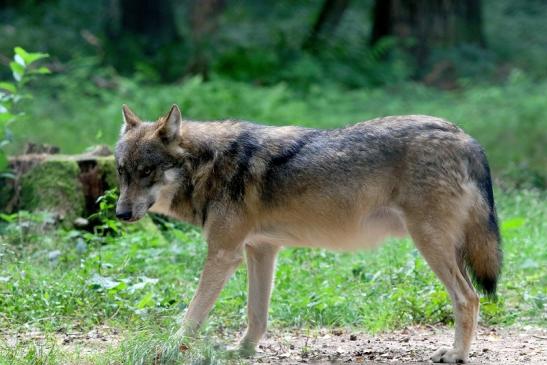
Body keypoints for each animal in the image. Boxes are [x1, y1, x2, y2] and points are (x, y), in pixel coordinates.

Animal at [116, 104, 506, 362]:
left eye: (147, 171)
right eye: (122, 171)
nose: (120, 213)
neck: (208, 165)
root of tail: (466, 137)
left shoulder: (224, 254)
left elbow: (192, 315)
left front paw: (168, 349)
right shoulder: (260, 250)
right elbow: (256, 314)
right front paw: (243, 351)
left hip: (430, 245)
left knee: (469, 298)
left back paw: (455, 354)